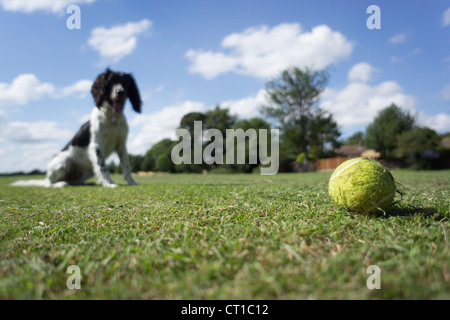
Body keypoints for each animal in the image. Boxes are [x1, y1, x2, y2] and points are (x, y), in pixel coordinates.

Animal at [13, 69, 141, 186]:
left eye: (126, 82)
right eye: (111, 81)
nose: (120, 92)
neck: (112, 118)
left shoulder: (121, 145)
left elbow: (126, 166)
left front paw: (132, 182)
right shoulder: (96, 145)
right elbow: (102, 166)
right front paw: (109, 183)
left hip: (88, 171)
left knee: (73, 182)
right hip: (64, 162)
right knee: (49, 183)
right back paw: (60, 184)